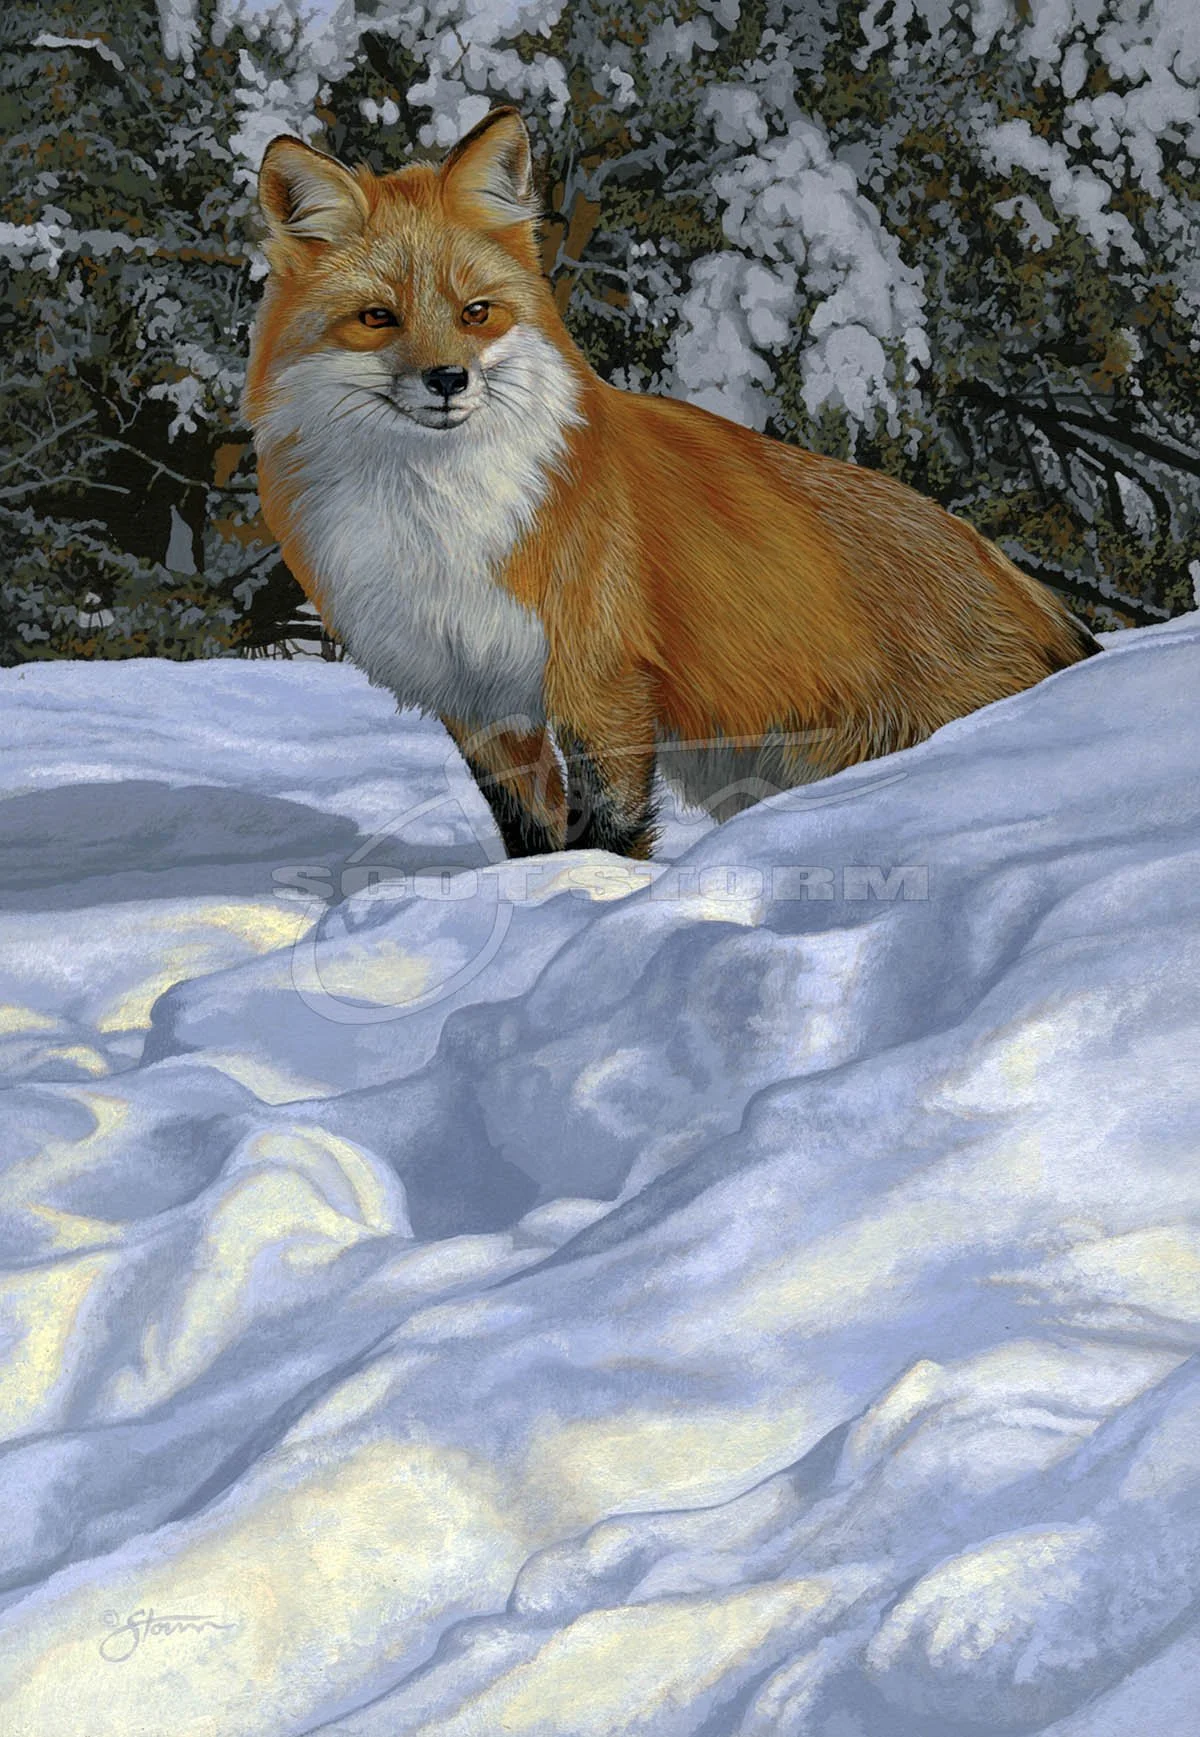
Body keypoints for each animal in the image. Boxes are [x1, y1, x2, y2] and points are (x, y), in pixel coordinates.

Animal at [244, 106, 1101, 861]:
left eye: (476, 312)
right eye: (377, 318)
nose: (449, 380)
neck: (440, 522)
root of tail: (1022, 583)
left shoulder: (601, 680)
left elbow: (610, 827)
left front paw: (589, 899)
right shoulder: (474, 695)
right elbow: (527, 830)